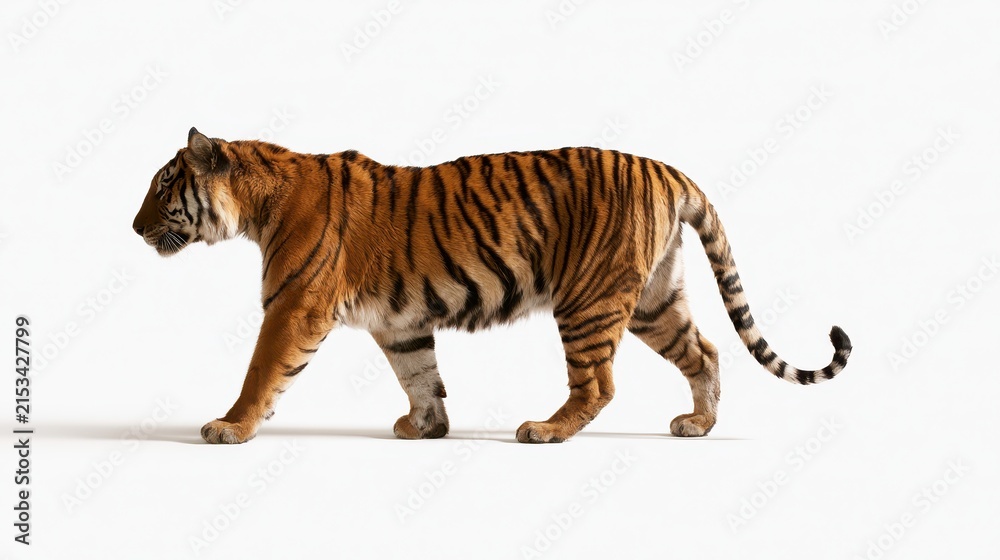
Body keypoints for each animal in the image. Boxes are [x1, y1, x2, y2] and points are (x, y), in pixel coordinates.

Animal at [132, 128, 852, 444]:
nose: (134, 228)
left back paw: (547, 430)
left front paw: (229, 426)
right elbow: (420, 374)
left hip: (589, 298)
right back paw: (698, 424)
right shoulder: (401, 323)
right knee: (703, 351)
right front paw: (425, 427)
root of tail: (666, 168)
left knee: (598, 383)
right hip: (653, 298)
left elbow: (261, 371)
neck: (257, 204)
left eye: (164, 187)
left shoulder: (293, 306)